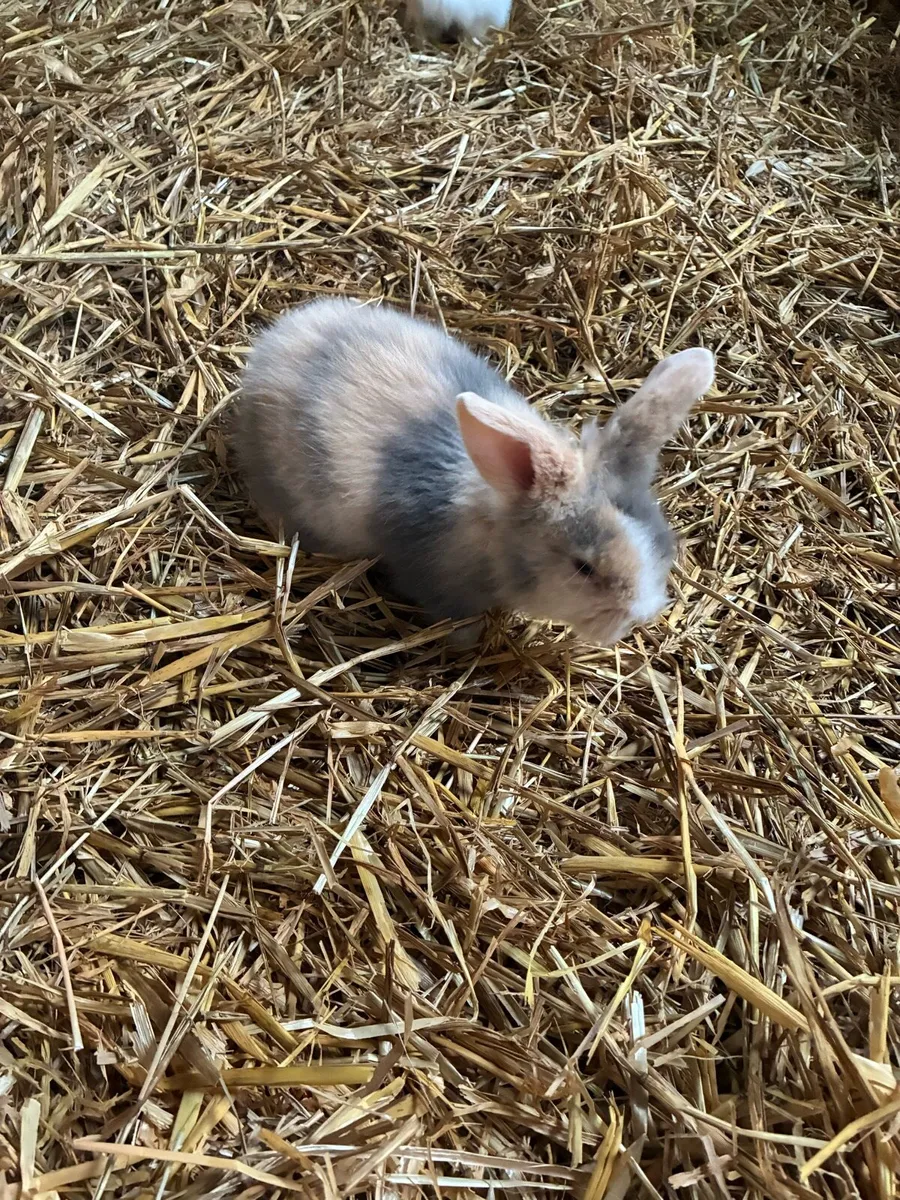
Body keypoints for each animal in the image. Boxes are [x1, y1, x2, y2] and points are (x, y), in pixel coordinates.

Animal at [234, 297, 715, 647]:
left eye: (666, 544)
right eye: (583, 568)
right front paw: (470, 641)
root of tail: (272, 343)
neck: (493, 523)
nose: (640, 615)